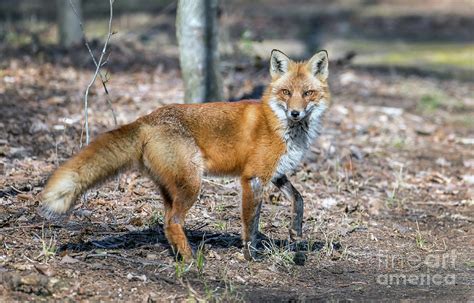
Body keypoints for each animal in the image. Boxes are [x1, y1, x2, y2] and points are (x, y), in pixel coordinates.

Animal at [40, 50, 330, 262]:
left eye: (307, 93)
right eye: (286, 93)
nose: (295, 113)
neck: (278, 124)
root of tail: (147, 118)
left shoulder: (276, 173)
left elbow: (299, 200)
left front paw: (295, 233)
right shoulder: (253, 177)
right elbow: (251, 224)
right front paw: (251, 257)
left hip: (173, 188)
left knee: (167, 223)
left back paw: (178, 255)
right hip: (192, 184)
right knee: (173, 221)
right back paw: (192, 260)